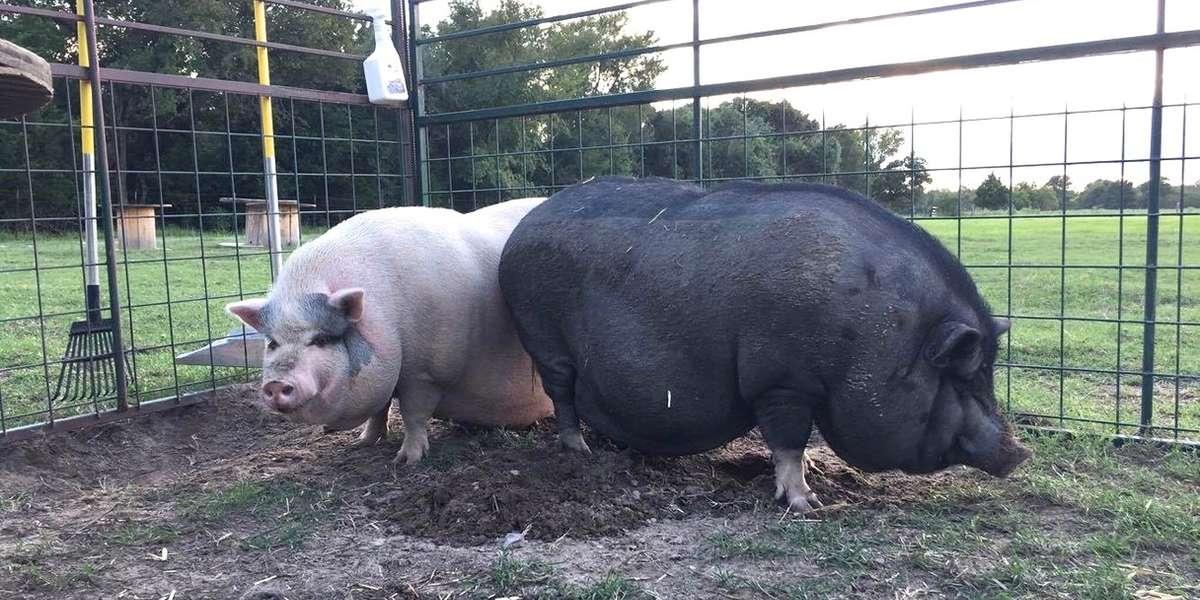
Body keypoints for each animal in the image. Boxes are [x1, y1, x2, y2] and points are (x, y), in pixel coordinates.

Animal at [226, 198, 553, 464]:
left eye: (320, 339)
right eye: (272, 343)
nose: (276, 383)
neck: (384, 315)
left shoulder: (425, 372)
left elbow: (412, 413)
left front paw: (406, 460)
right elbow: (379, 409)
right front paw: (361, 443)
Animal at [498, 177, 1030, 512]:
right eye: (962, 374)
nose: (1019, 451)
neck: (876, 330)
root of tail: (526, 225)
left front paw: (814, 476)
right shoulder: (782, 380)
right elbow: (788, 439)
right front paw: (807, 503)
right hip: (543, 336)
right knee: (562, 393)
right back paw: (579, 451)